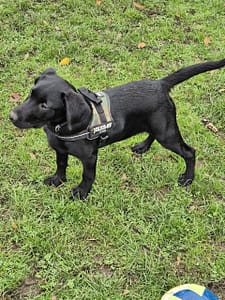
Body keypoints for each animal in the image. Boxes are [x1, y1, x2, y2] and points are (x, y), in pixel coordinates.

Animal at [10, 58, 225, 199]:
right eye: (31, 93)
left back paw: (188, 179)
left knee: (190, 152)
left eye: (45, 105)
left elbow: (87, 175)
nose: (11, 116)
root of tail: (161, 84)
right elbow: (61, 165)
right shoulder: (60, 149)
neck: (61, 127)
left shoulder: (90, 157)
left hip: (167, 133)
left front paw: (81, 193)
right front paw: (57, 180)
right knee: (152, 134)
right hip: (158, 125)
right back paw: (143, 147)